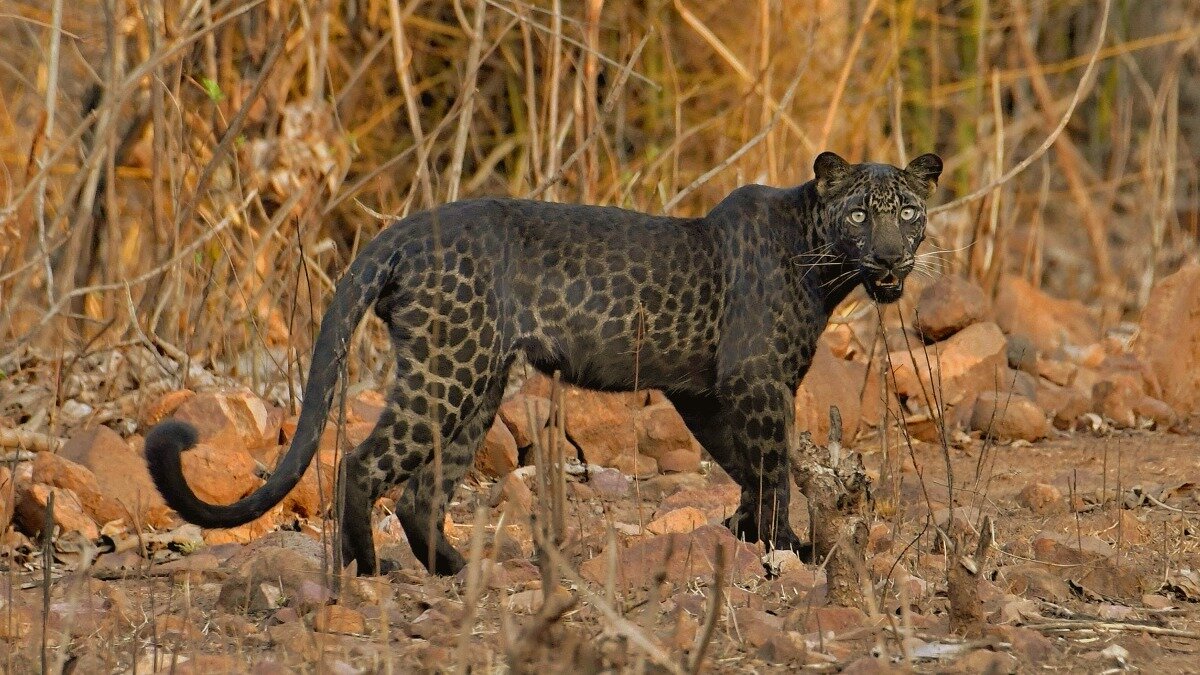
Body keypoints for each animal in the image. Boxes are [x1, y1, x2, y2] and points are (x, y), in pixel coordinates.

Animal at [145, 151, 940, 571]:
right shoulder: (755, 381)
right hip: (449, 371)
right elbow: (773, 466)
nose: (891, 257)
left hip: (477, 381)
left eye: (909, 211)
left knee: (422, 492)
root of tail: (401, 231)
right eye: (860, 214)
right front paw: (785, 548)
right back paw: (366, 569)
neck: (824, 264)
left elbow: (746, 465)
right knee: (363, 464)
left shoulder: (705, 390)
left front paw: (751, 535)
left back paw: (458, 571)